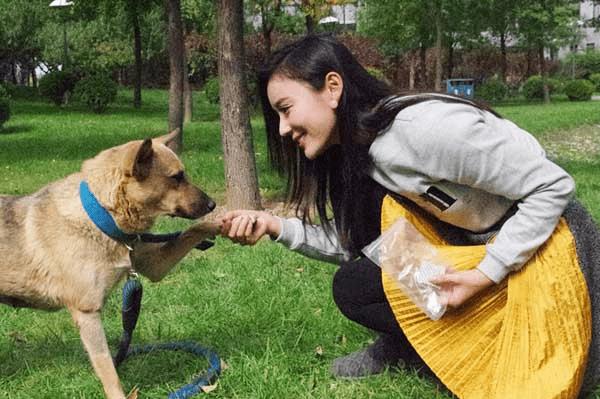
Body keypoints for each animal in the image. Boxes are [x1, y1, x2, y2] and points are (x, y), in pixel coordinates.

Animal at [0, 130, 220, 396]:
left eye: (182, 175)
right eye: (176, 177)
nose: (212, 204)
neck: (99, 214)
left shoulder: (154, 266)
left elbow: (194, 230)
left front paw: (230, 222)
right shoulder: (88, 314)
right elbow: (107, 368)